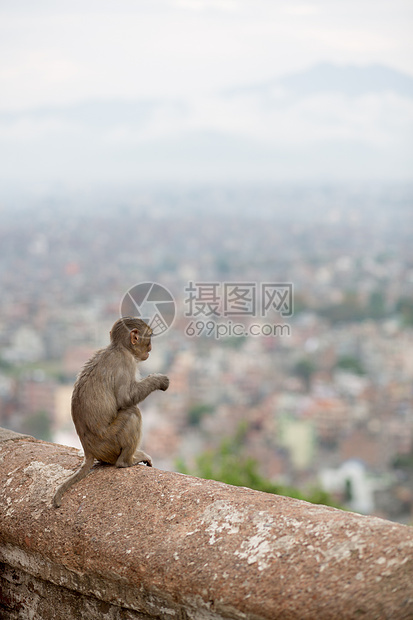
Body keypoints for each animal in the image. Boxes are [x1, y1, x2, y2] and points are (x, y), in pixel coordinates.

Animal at [53, 318, 169, 506]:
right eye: (149, 337)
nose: (150, 348)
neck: (119, 347)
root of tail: (88, 451)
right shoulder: (126, 362)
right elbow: (126, 398)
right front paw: (158, 380)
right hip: (109, 442)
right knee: (132, 413)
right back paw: (126, 462)